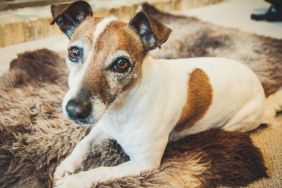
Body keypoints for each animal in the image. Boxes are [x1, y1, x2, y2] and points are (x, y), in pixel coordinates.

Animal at [51, 0, 266, 187]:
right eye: (74, 52)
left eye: (121, 64)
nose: (75, 110)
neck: (121, 109)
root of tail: (255, 78)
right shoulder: (102, 127)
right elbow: (83, 143)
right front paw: (66, 166)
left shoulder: (144, 164)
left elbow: (101, 170)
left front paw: (74, 181)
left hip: (236, 124)